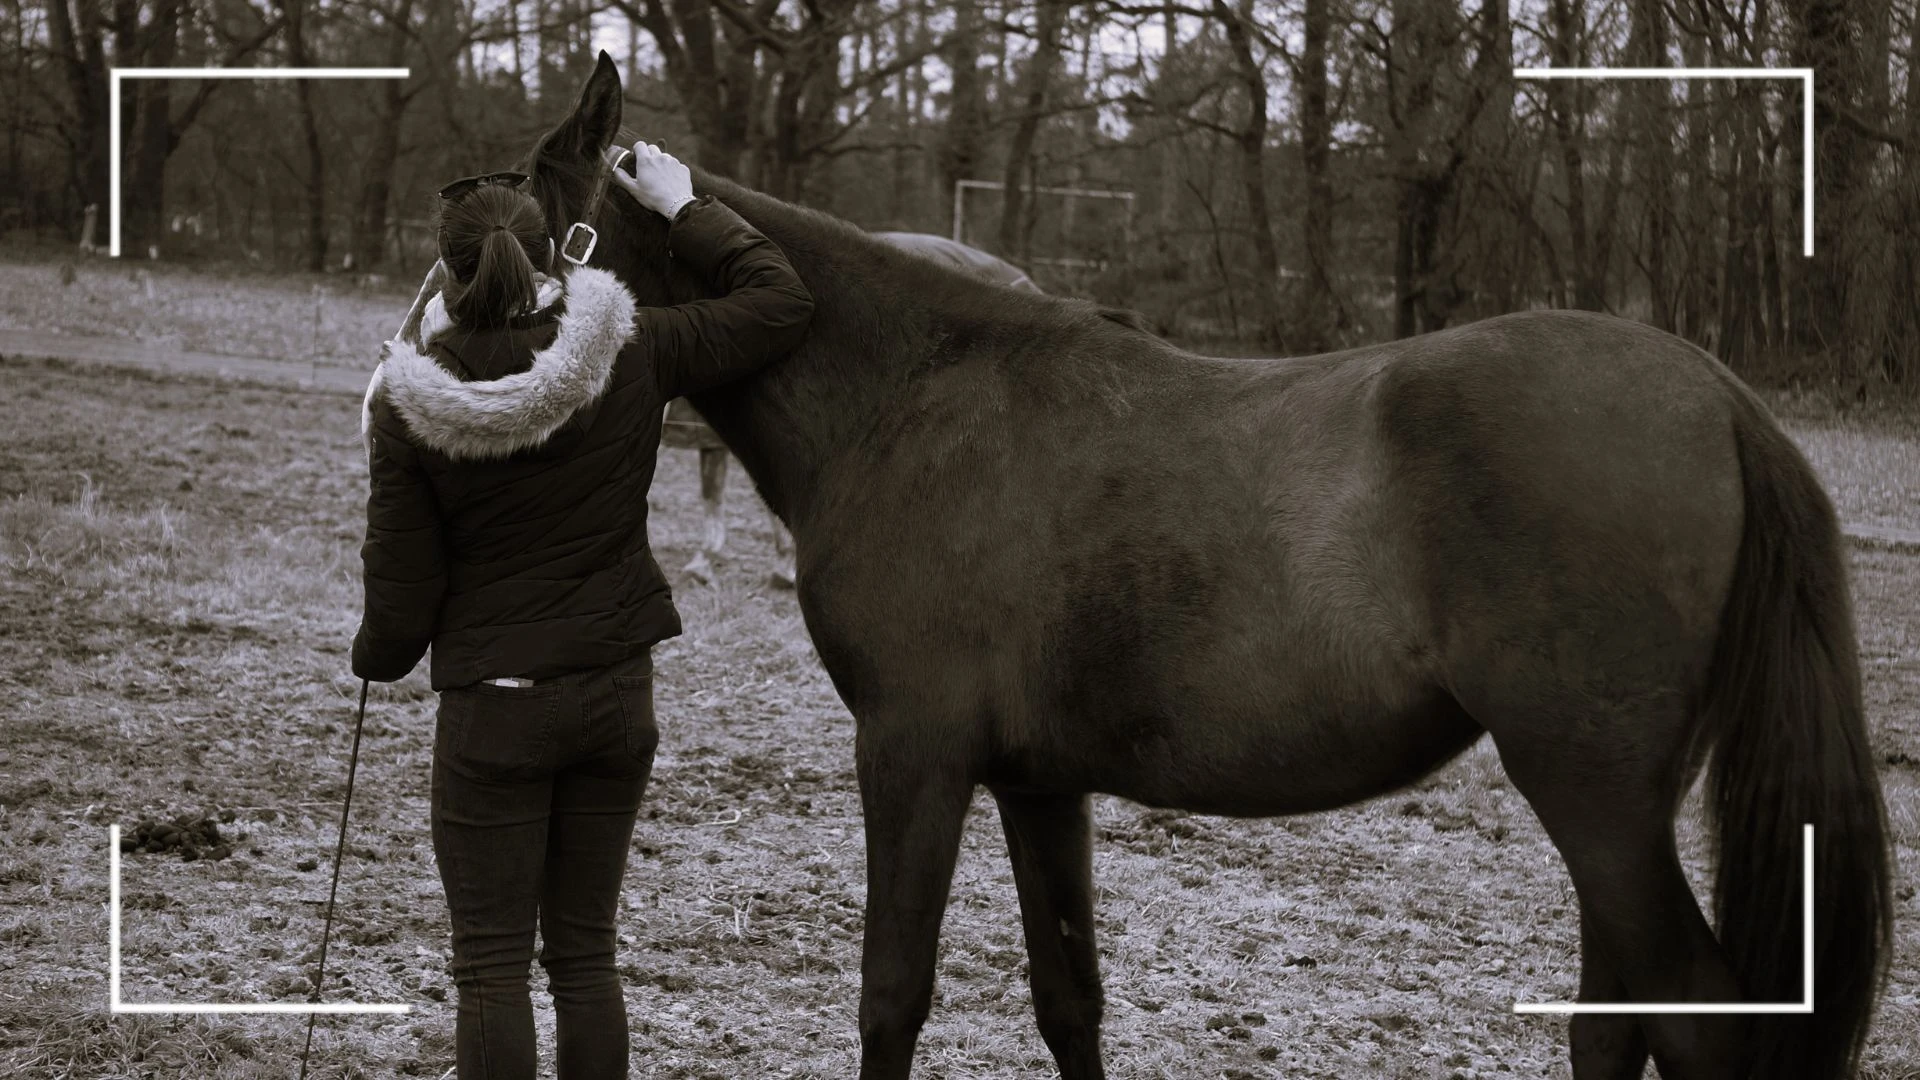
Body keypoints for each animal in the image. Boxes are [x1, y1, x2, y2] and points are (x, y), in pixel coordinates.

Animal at [522, 56, 1889, 1076]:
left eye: (527, 213)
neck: (911, 395)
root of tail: (1718, 397)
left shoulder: (914, 753)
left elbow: (891, 992)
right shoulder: (1037, 781)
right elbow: (1068, 994)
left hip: (1594, 794)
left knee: (1695, 1025)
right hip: (1614, 810)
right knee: (1618, 1027)